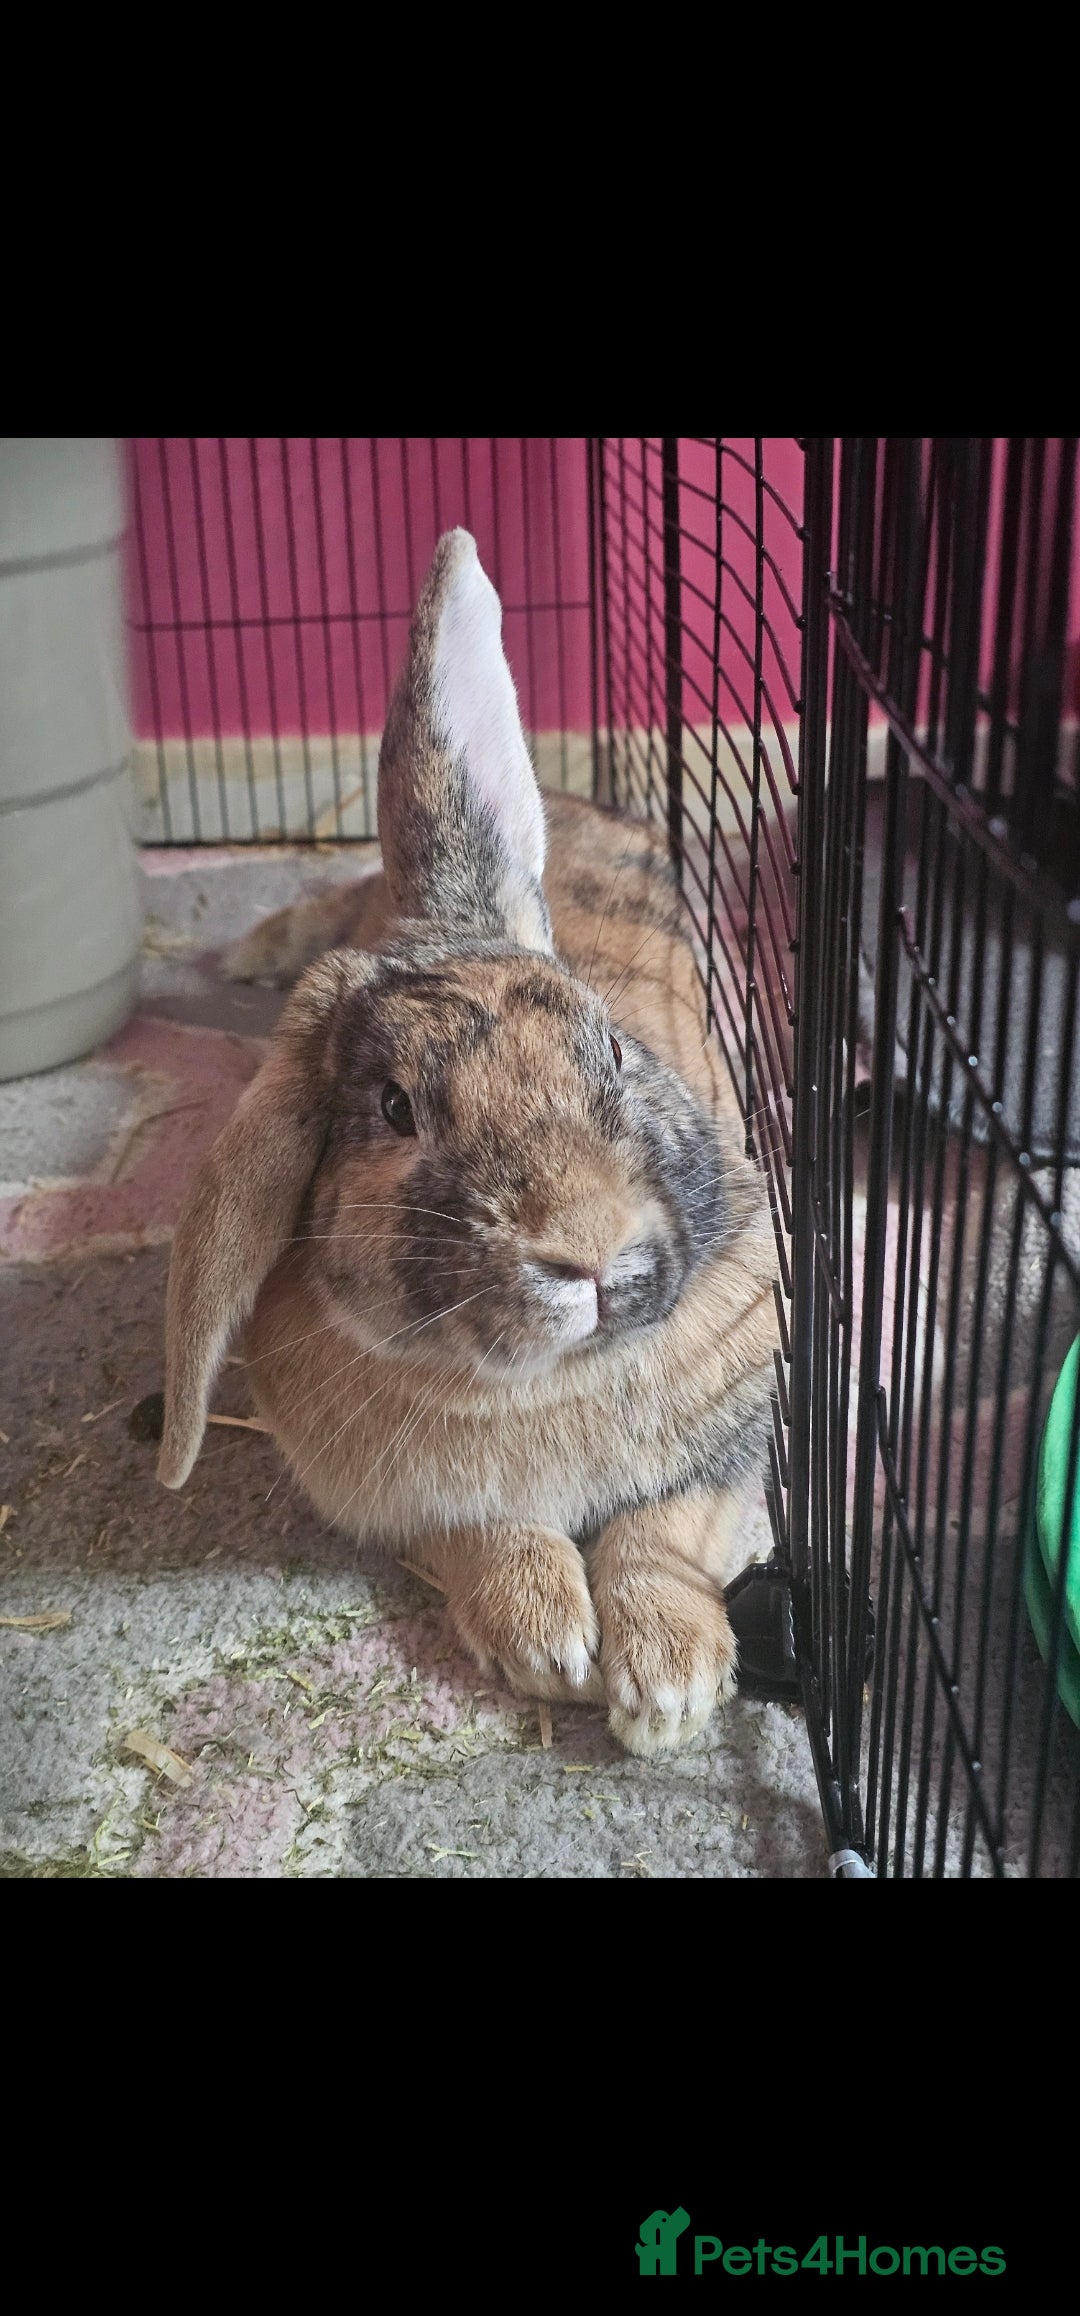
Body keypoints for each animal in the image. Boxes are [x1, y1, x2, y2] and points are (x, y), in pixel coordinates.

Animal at [158, 529, 779, 1756]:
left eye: (616, 1050)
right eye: (398, 1110)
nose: (590, 1251)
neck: (543, 1382)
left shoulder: (733, 1445)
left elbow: (665, 1534)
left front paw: (670, 1686)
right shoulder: (392, 1501)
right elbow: (483, 1537)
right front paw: (547, 1641)